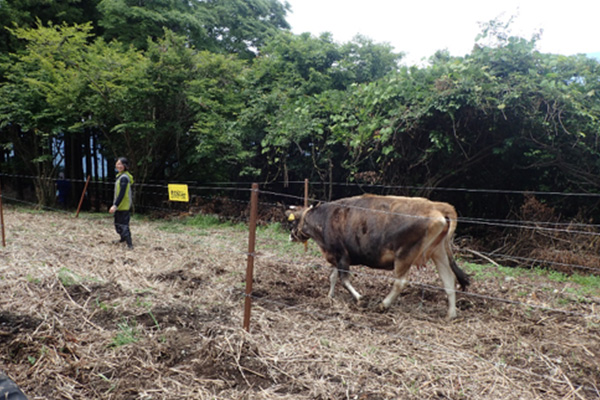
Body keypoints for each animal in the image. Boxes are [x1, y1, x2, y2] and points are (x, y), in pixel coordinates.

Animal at [284, 194, 468, 318]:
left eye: (292, 221)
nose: (290, 236)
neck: (324, 219)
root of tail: (436, 206)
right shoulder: (337, 256)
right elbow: (333, 277)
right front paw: (330, 296)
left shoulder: (341, 254)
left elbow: (344, 279)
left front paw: (359, 298)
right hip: (439, 252)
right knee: (449, 280)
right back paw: (450, 314)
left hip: (405, 254)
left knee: (400, 282)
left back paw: (383, 305)